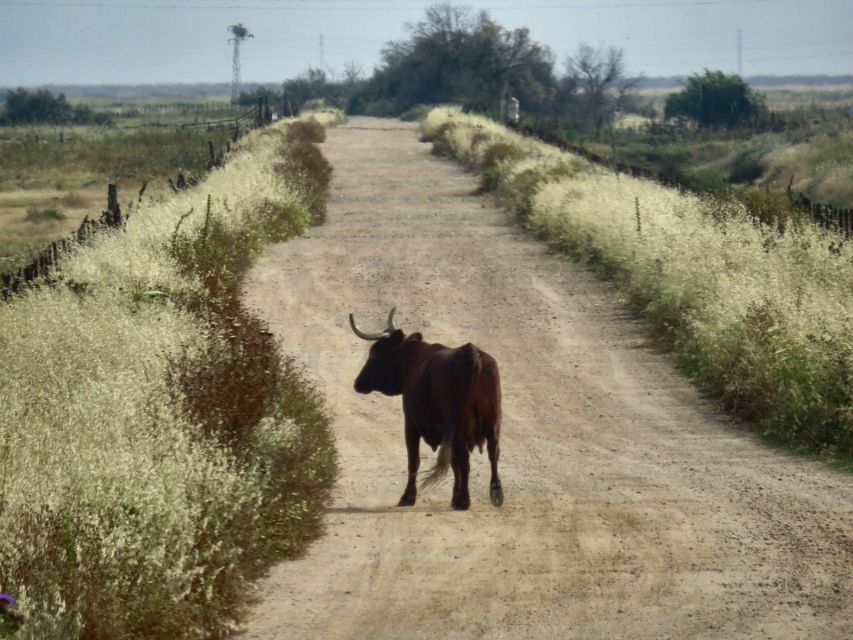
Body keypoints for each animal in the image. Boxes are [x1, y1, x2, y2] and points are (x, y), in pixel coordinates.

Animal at [350, 308, 502, 512]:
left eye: (374, 353)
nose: (358, 383)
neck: (413, 360)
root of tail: (471, 352)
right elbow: (453, 462)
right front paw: (453, 497)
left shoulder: (411, 423)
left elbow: (414, 459)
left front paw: (408, 497)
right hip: (492, 418)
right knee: (493, 452)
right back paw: (496, 493)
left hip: (458, 424)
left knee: (463, 457)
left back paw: (464, 500)